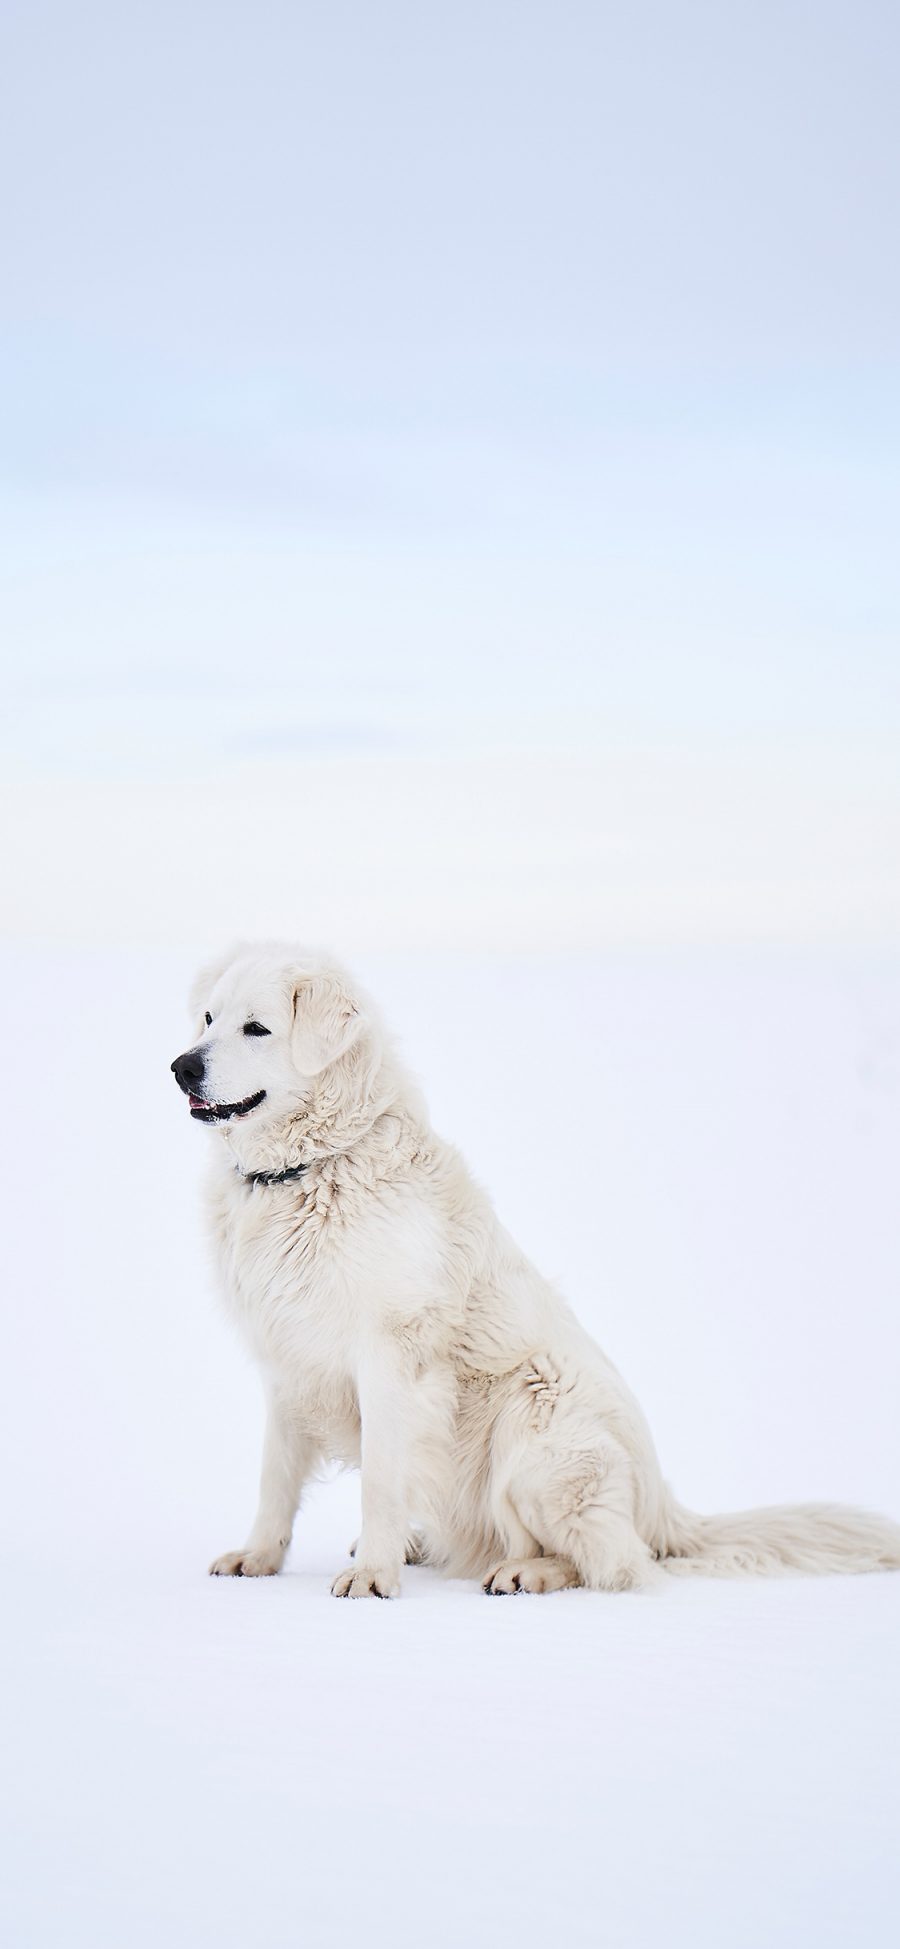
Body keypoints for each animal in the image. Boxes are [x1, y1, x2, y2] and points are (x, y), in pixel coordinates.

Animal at [172, 943, 896, 1598]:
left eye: (257, 1028)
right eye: (207, 1018)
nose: (180, 1066)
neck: (312, 1169)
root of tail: (663, 1506)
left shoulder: (390, 1357)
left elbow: (380, 1479)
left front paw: (373, 1575)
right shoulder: (286, 1363)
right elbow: (274, 1479)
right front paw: (258, 1557)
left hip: (535, 1412)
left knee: (616, 1560)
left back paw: (526, 1571)